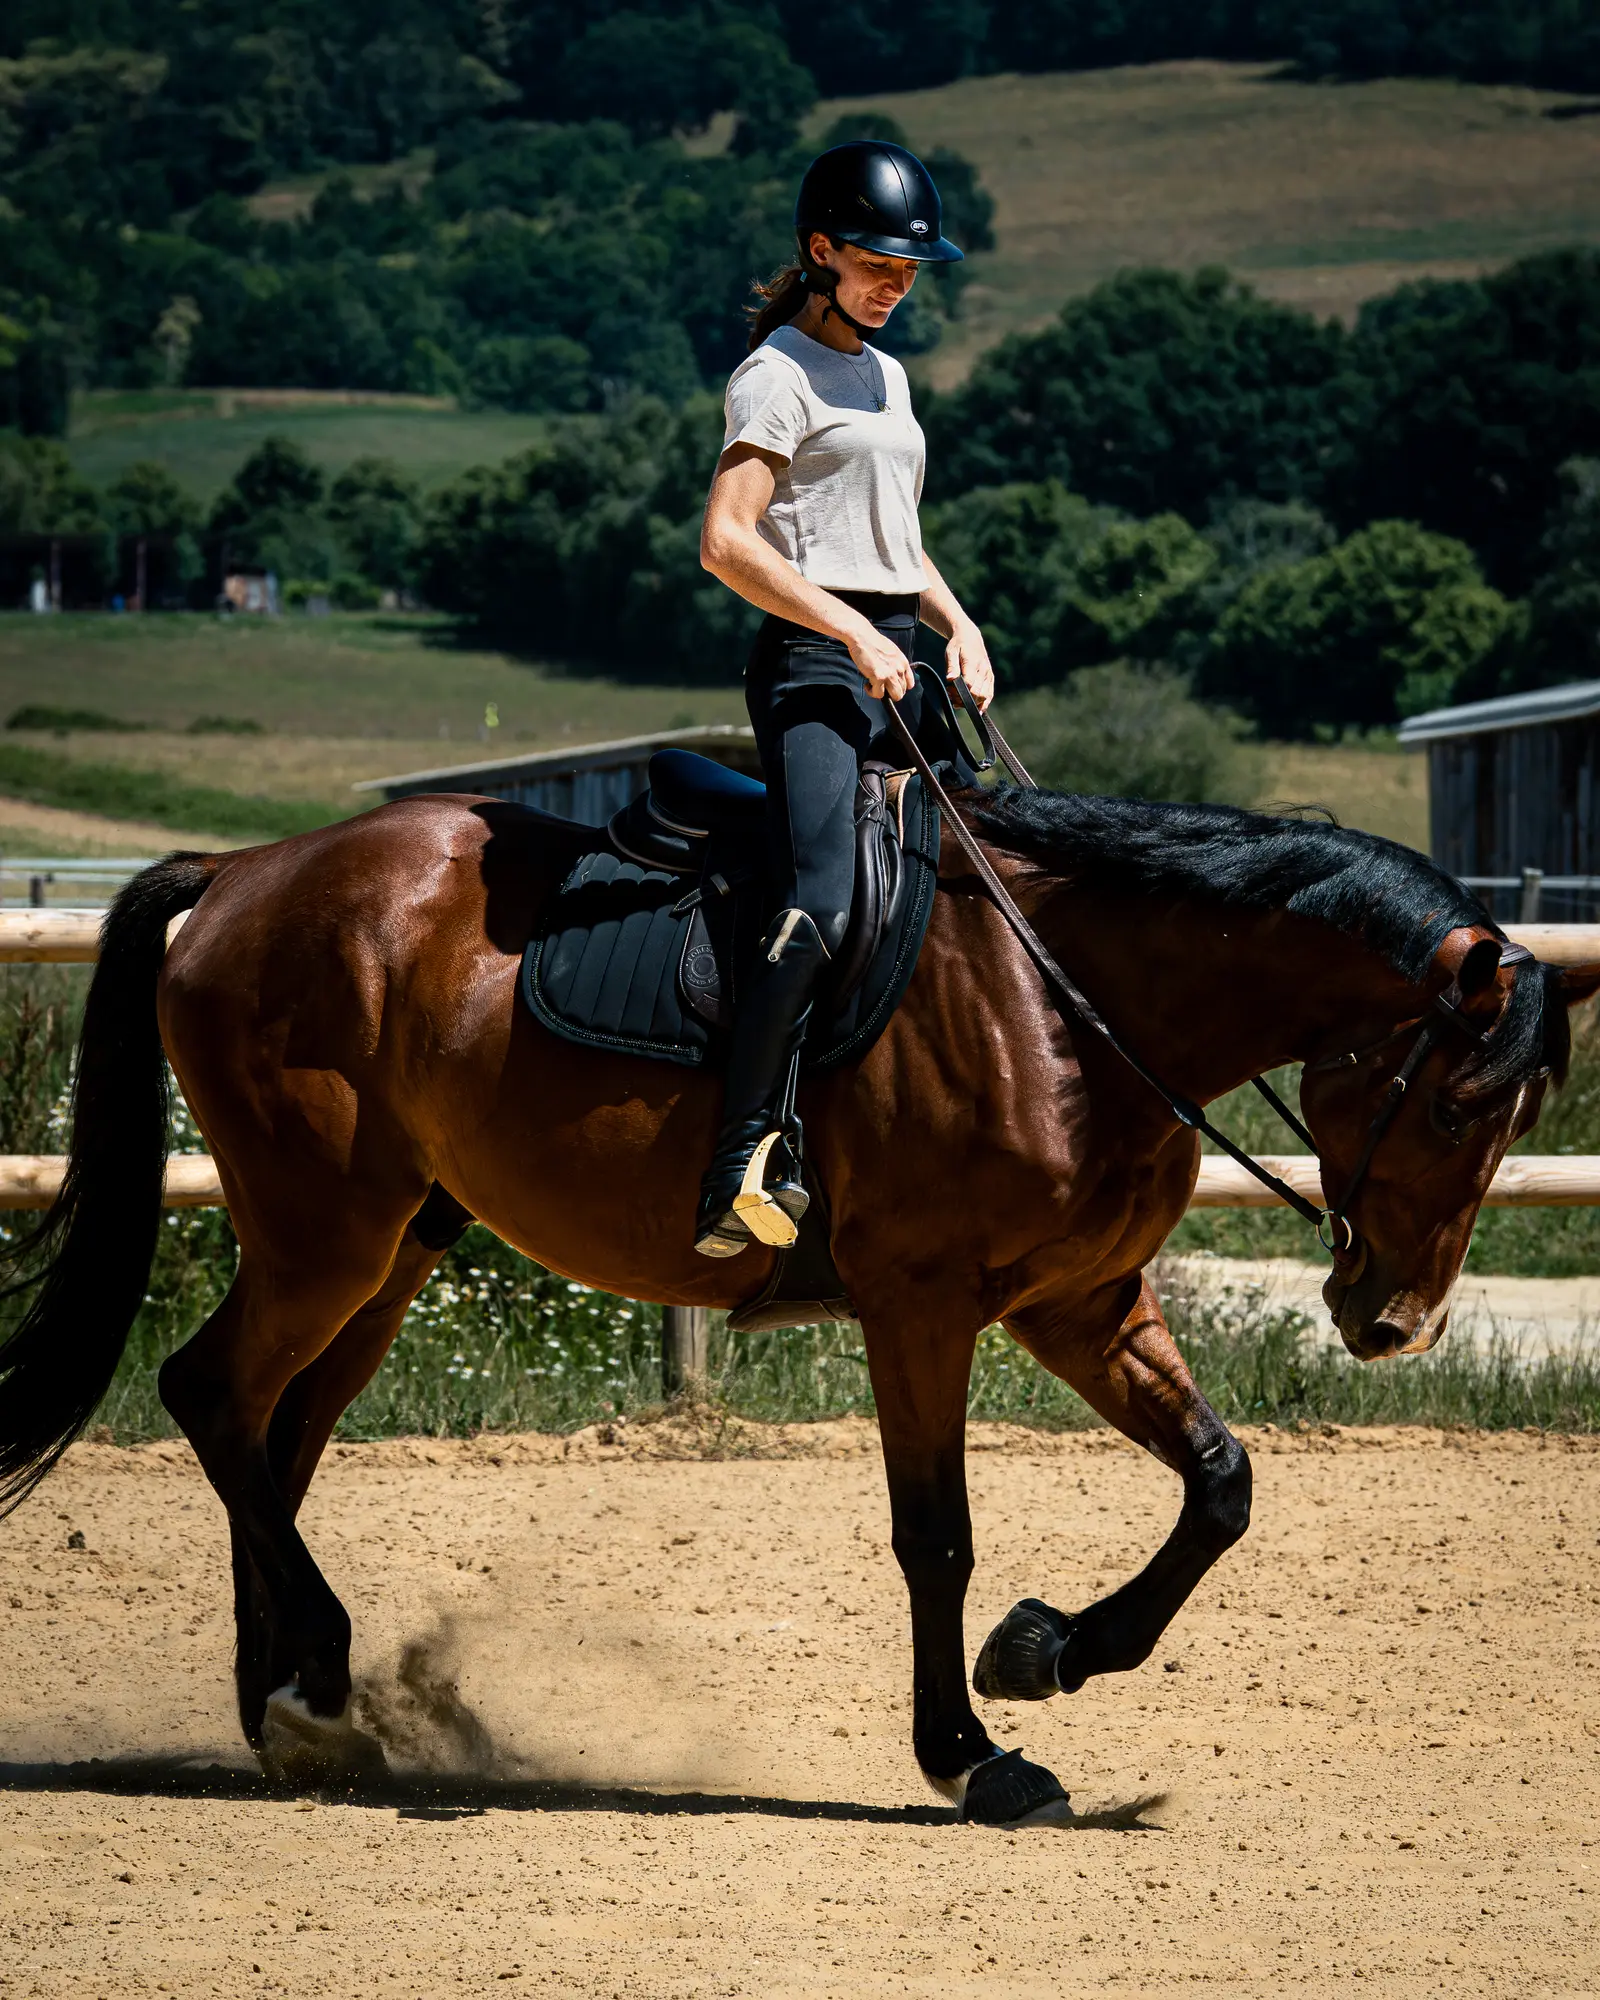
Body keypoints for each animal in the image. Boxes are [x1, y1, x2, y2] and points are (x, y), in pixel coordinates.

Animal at [0, 783, 1589, 1826]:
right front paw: (972, 1754)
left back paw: (290, 1706)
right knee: (213, 1396)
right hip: (326, 1232)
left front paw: (1046, 1652)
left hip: (387, 1249)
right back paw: (315, 1676)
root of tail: (239, 875)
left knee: (276, 1435)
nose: (1395, 1322)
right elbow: (936, 1538)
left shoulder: (1081, 1302)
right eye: (1454, 1101)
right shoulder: (924, 1309)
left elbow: (1221, 1482)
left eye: (1514, 1117)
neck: (1070, 1003)